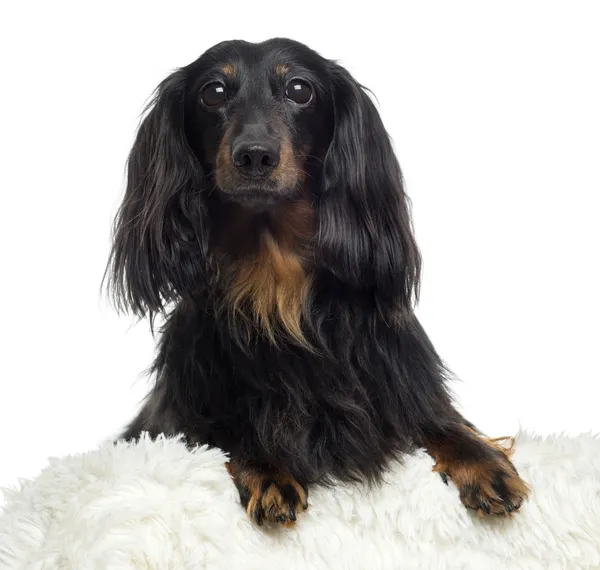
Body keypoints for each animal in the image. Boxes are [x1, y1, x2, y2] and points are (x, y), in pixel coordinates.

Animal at [108, 36, 528, 524]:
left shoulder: (399, 379)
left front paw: (483, 463)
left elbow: (442, 421)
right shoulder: (186, 413)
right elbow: (231, 432)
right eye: (212, 92)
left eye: (299, 89)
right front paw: (268, 469)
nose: (255, 155)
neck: (274, 274)